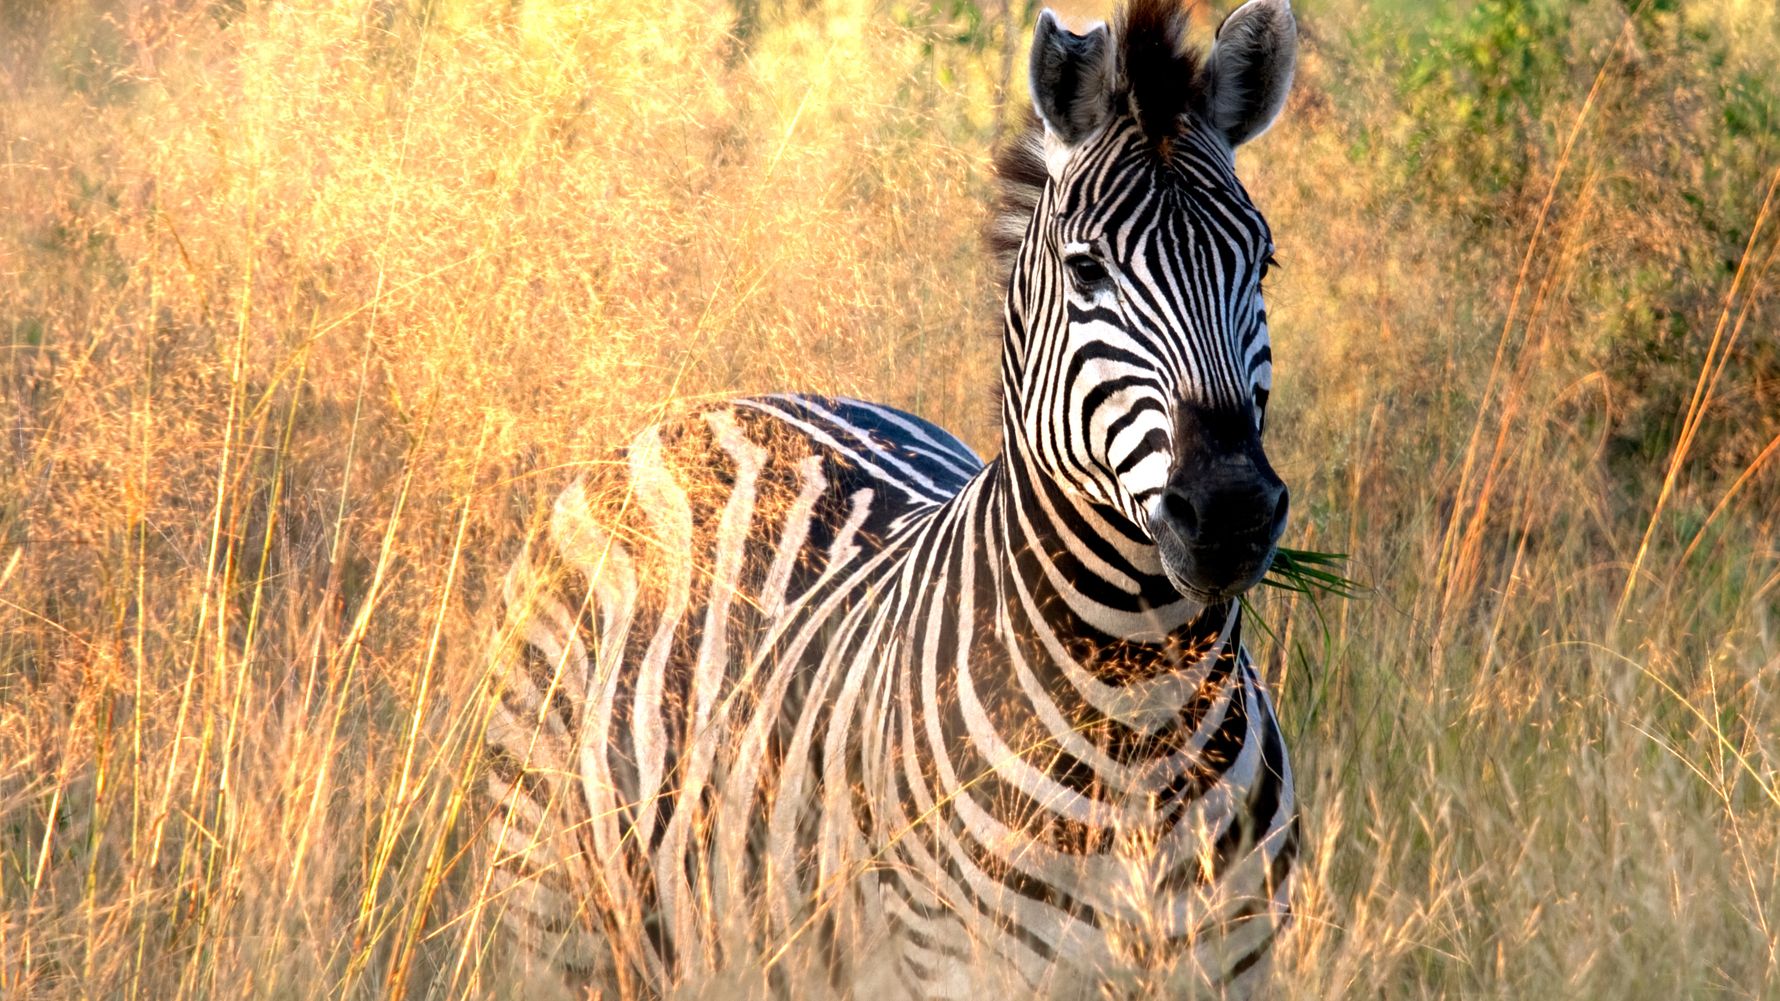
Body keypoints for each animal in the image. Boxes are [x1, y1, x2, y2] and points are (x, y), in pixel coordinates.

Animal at [480, 0, 1301, 997]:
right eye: (1085, 270)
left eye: (1264, 263)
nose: (1230, 511)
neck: (1139, 713)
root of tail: (720, 406)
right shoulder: (957, 963)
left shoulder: (1234, 965)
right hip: (550, 907)